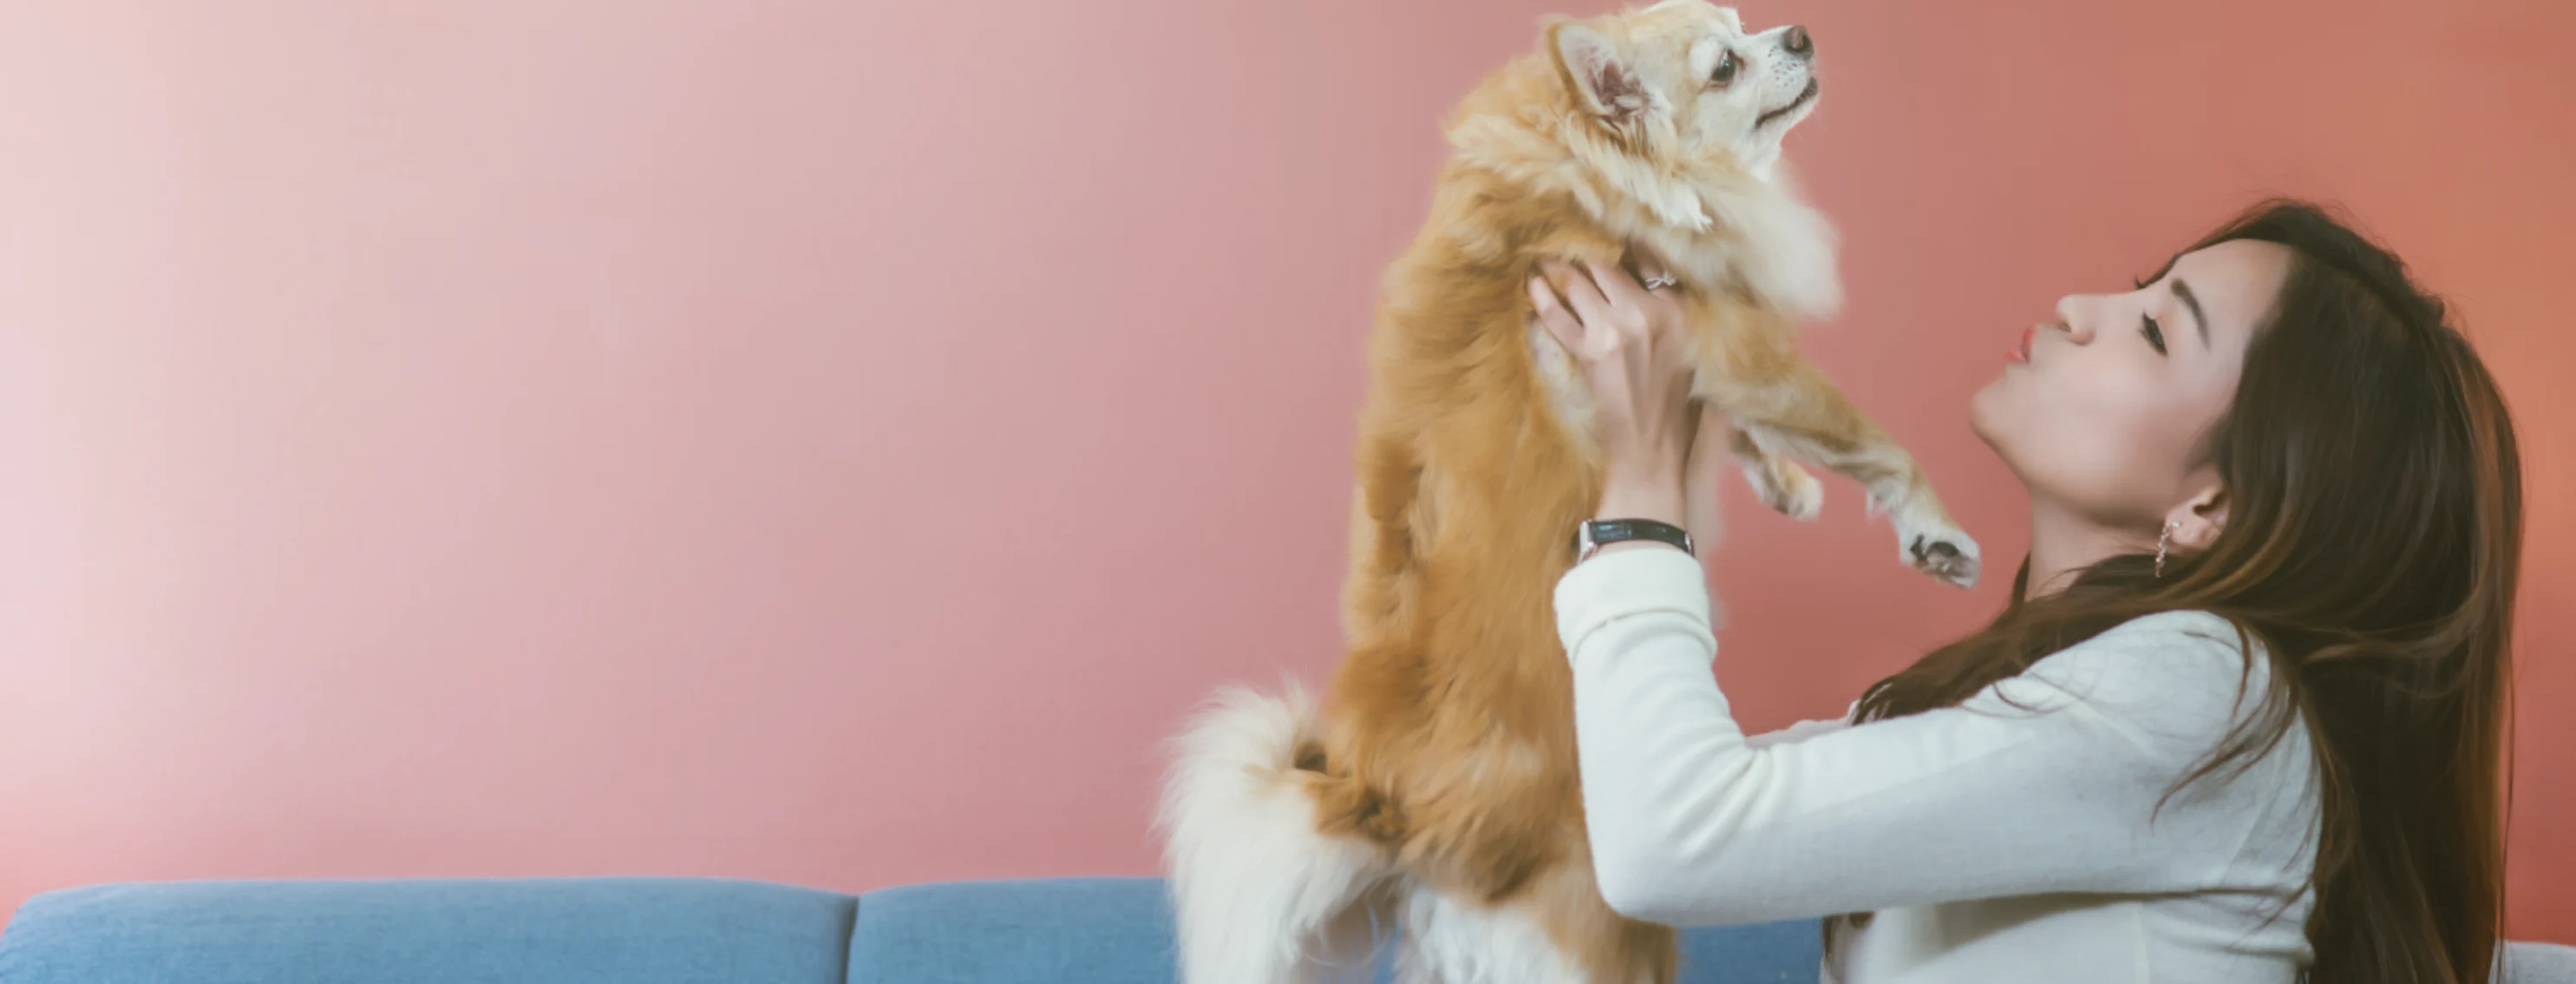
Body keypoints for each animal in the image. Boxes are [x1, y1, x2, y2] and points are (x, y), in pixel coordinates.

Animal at [1164, 3, 1968, 979]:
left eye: (1744, 22)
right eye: (1725, 67)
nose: (1802, 35)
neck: (1585, 160)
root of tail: (1390, 808)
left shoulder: (1703, 362)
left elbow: (1741, 429)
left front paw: (1785, 482)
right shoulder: (1735, 348)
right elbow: (1871, 441)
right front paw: (1934, 531)